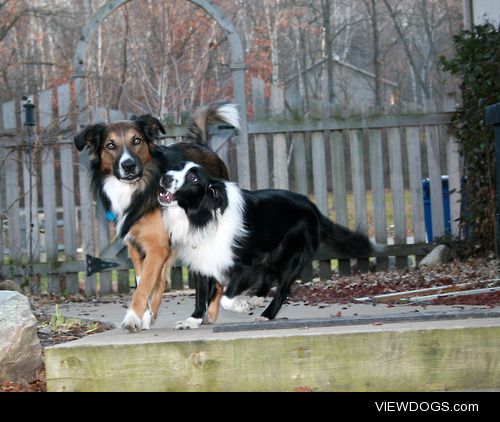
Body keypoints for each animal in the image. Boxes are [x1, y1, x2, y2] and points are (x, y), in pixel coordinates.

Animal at [73, 101, 238, 330]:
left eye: (136, 140)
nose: (128, 166)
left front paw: (133, 317)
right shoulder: (138, 245)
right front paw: (145, 315)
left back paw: (211, 312)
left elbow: (144, 286)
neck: (140, 188)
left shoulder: (157, 245)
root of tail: (204, 147)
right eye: (110, 145)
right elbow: (146, 280)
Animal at [158, 160, 376, 328]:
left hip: (291, 256)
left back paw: (266, 314)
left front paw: (241, 305)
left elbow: (227, 298)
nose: (165, 178)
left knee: (283, 288)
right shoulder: (202, 263)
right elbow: (201, 295)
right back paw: (257, 299)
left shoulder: (244, 266)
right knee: (269, 274)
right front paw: (192, 320)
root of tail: (312, 207)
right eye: (176, 167)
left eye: (193, 178)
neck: (203, 214)